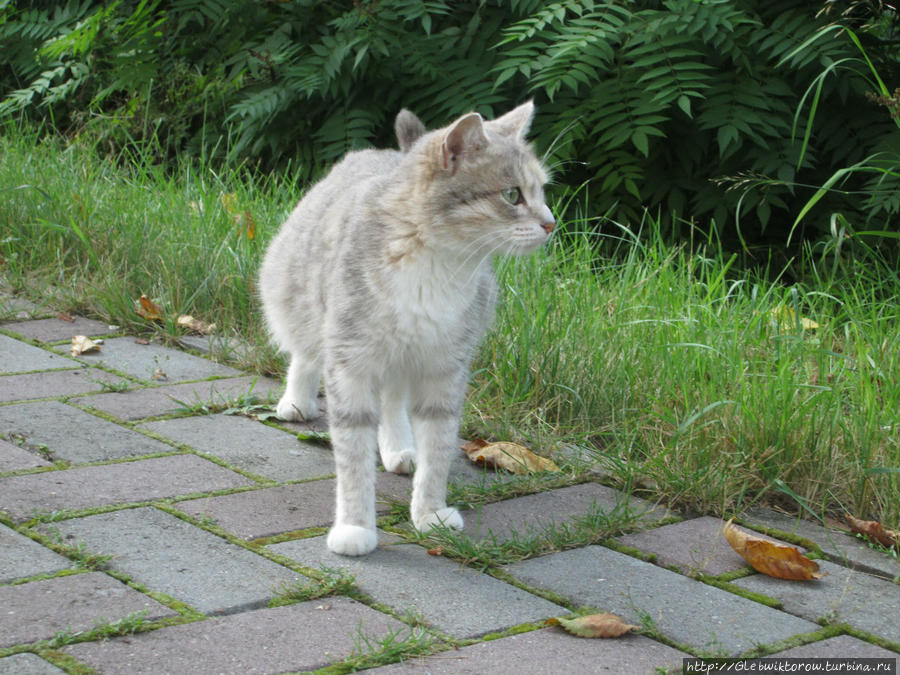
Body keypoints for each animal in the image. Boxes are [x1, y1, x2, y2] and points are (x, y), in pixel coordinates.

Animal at [258, 99, 556, 556]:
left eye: (541, 191)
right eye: (513, 195)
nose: (551, 223)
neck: (434, 263)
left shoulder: (444, 369)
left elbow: (438, 448)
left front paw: (430, 511)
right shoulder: (352, 362)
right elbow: (353, 458)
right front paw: (355, 526)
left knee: (393, 400)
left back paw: (399, 446)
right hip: (300, 298)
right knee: (306, 351)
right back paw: (297, 399)